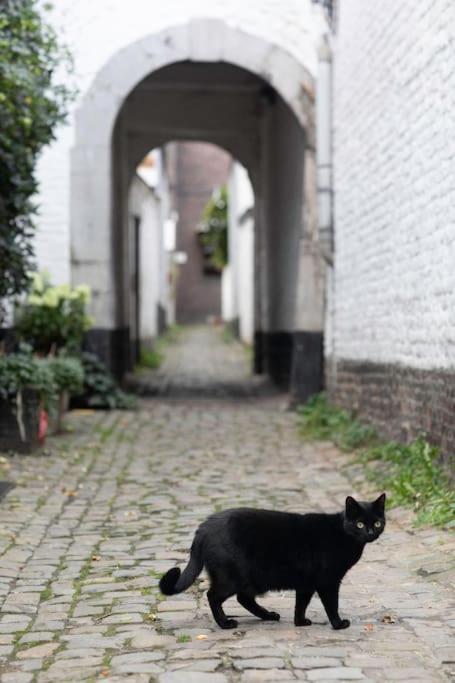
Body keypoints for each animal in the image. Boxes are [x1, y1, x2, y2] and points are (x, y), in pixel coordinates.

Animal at [159, 492, 386, 632]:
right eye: (359, 524)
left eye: (377, 523)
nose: (370, 532)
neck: (343, 534)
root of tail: (203, 528)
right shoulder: (328, 581)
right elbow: (332, 605)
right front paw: (338, 624)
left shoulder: (306, 583)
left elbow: (301, 604)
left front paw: (300, 622)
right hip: (233, 577)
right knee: (213, 596)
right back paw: (225, 624)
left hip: (251, 579)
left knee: (244, 598)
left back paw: (268, 615)